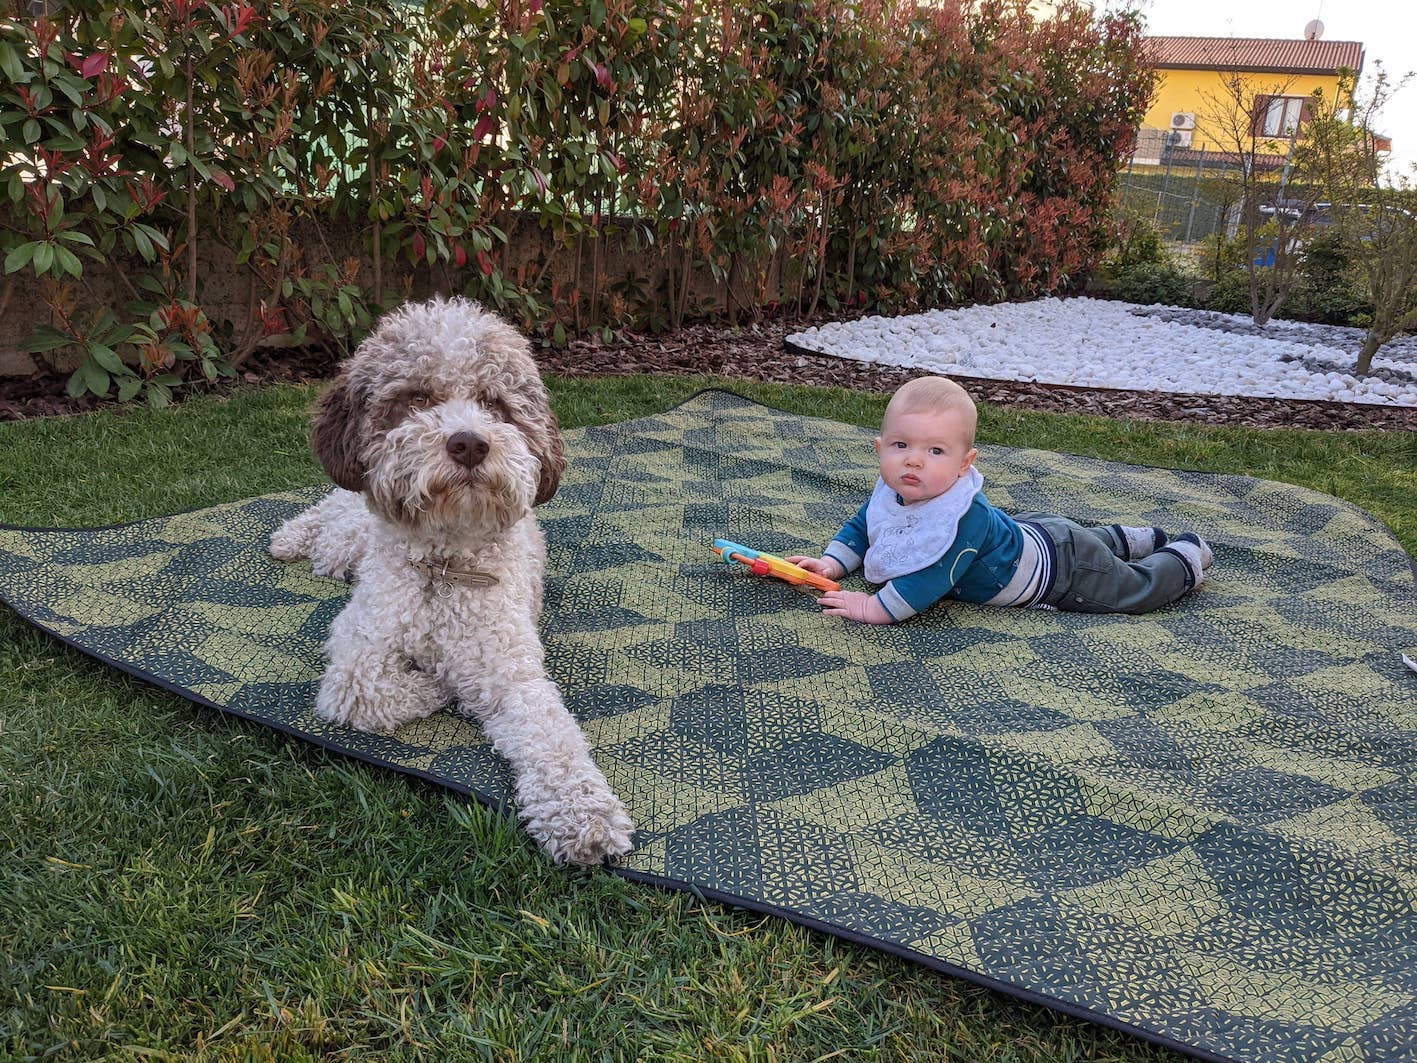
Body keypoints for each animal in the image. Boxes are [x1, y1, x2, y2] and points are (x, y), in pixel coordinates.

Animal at [269, 296, 634, 865]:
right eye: (418, 398)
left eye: (492, 402)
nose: (468, 443)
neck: (443, 568)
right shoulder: (357, 646)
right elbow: (364, 689)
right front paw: (440, 686)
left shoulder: (512, 672)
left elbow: (552, 738)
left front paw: (584, 816)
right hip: (347, 535)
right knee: (328, 514)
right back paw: (290, 537)